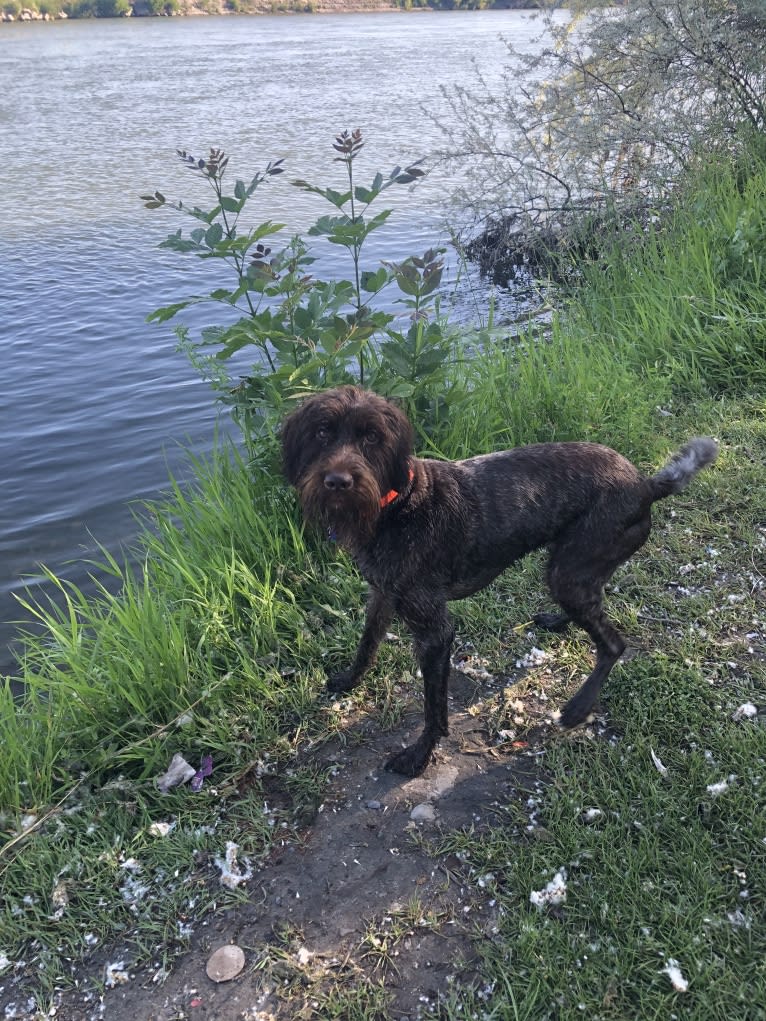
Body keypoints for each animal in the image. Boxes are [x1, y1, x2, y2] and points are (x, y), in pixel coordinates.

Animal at [281, 385, 719, 775]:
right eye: (322, 432)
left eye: (372, 437)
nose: (337, 481)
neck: (396, 505)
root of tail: (645, 485)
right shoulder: (383, 595)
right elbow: (367, 644)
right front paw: (349, 679)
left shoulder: (434, 632)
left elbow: (433, 708)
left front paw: (419, 755)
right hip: (573, 568)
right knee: (595, 602)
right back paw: (560, 621)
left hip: (571, 568)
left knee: (613, 644)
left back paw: (578, 707)